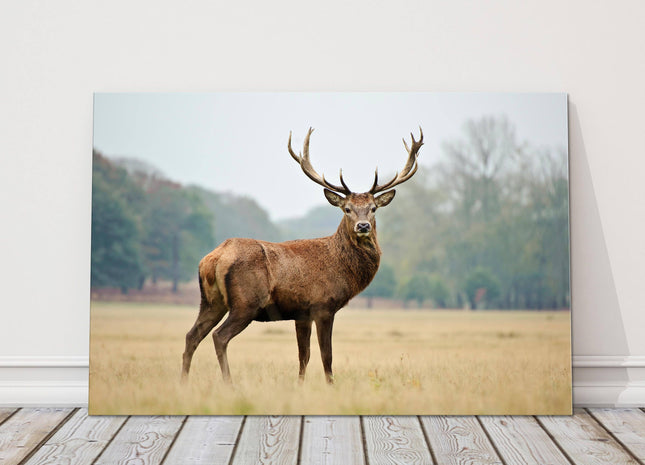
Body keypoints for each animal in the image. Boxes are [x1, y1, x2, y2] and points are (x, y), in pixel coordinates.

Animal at [181, 127, 424, 384]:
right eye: (347, 209)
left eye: (373, 208)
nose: (363, 226)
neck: (341, 267)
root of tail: (213, 259)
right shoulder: (323, 305)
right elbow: (326, 355)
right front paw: (330, 385)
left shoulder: (302, 313)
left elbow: (303, 356)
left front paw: (300, 385)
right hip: (245, 302)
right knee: (219, 336)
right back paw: (229, 383)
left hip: (211, 301)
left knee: (192, 335)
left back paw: (183, 381)